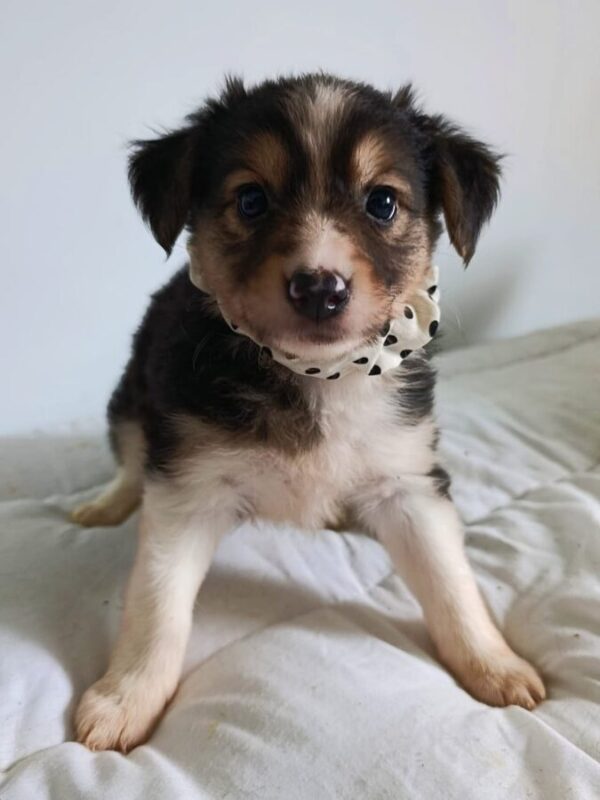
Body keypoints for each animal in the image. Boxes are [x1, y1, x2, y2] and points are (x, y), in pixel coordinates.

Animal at [71, 73, 545, 752]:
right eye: (250, 201)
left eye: (382, 202)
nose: (320, 288)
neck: (318, 376)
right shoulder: (187, 489)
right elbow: (157, 604)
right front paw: (125, 698)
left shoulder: (408, 479)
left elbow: (451, 582)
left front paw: (494, 664)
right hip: (131, 396)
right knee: (131, 458)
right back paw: (104, 505)